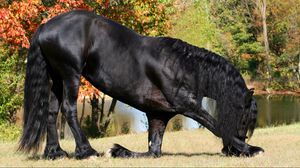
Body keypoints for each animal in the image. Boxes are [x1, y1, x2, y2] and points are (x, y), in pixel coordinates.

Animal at [18, 9, 262, 159]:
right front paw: (252, 149)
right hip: (70, 74)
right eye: (245, 118)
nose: (230, 151)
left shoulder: (158, 116)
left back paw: (54, 152)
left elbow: (153, 150)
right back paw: (87, 151)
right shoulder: (187, 105)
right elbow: (215, 125)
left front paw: (119, 150)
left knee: (51, 111)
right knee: (69, 109)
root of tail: (45, 27)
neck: (181, 65)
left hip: (57, 77)